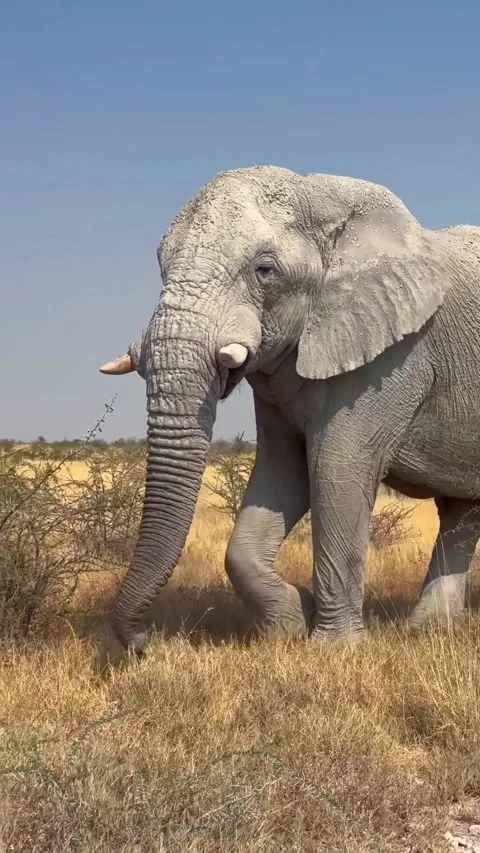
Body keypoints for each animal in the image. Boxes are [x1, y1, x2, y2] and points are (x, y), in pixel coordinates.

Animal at [100, 164, 480, 654]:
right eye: (161, 266)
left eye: (264, 270)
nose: (148, 641)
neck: (320, 197)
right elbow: (283, 471)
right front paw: (293, 621)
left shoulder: (396, 354)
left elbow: (337, 469)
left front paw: (335, 649)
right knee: (461, 510)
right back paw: (429, 630)